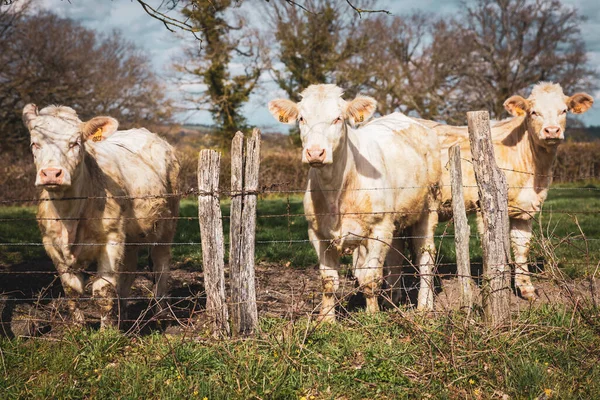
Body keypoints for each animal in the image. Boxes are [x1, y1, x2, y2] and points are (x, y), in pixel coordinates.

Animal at [21, 104, 180, 328]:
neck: (69, 217)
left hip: (167, 226)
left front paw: (107, 331)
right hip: (131, 235)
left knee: (161, 267)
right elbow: (71, 289)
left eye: (75, 143)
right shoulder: (51, 244)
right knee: (129, 270)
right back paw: (122, 314)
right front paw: (78, 327)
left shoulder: (111, 239)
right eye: (35, 144)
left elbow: (103, 290)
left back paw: (160, 315)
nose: (51, 173)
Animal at [270, 83, 442, 318]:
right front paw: (326, 320)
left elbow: (370, 278)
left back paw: (425, 306)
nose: (315, 153)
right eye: (302, 118)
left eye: (338, 118)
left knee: (425, 256)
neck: (336, 191)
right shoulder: (317, 232)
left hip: (428, 208)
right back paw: (391, 301)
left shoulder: (379, 227)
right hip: (396, 220)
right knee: (395, 258)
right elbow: (329, 281)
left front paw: (373, 316)